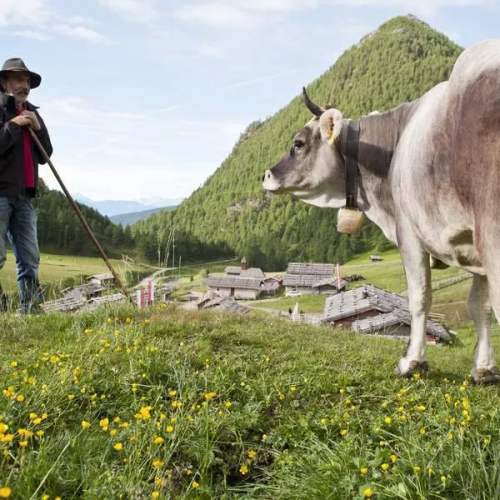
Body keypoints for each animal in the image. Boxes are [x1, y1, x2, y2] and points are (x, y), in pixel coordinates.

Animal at [262, 40, 500, 382]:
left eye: (298, 143)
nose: (266, 175)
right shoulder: (471, 246)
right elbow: (479, 306)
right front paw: (484, 368)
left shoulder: (409, 232)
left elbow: (419, 297)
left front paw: (413, 362)